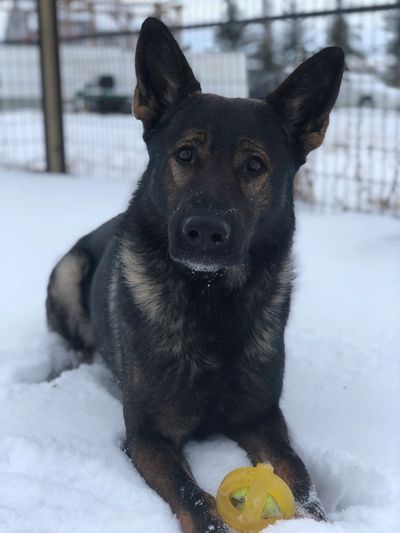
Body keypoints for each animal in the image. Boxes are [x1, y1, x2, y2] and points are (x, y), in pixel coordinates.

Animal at [46, 17, 340, 532]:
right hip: (67, 272)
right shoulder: (148, 436)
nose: (204, 232)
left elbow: (298, 473)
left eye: (255, 165)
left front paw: (314, 519)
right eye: (184, 155)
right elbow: (194, 497)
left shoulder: (263, 419)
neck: (210, 299)